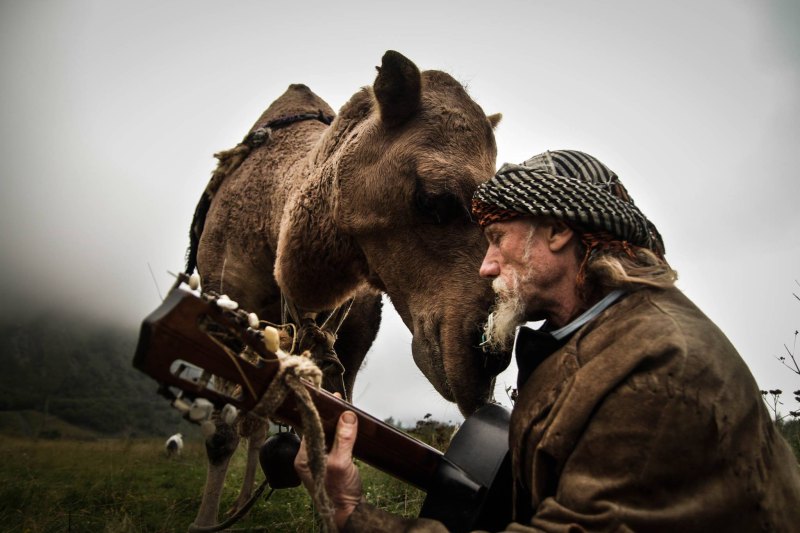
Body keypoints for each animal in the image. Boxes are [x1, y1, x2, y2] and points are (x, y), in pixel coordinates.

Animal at [186, 51, 506, 528]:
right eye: (433, 199)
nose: (489, 357)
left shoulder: (352, 337)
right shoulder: (229, 304)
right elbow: (222, 432)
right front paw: (205, 523)